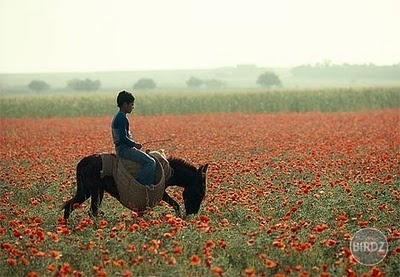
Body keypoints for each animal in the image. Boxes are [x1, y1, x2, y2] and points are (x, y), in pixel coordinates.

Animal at [61, 153, 209, 218]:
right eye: (199, 193)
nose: (192, 214)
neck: (167, 170)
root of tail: (83, 162)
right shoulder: (160, 192)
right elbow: (176, 204)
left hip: (86, 191)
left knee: (69, 206)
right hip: (96, 191)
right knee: (93, 212)